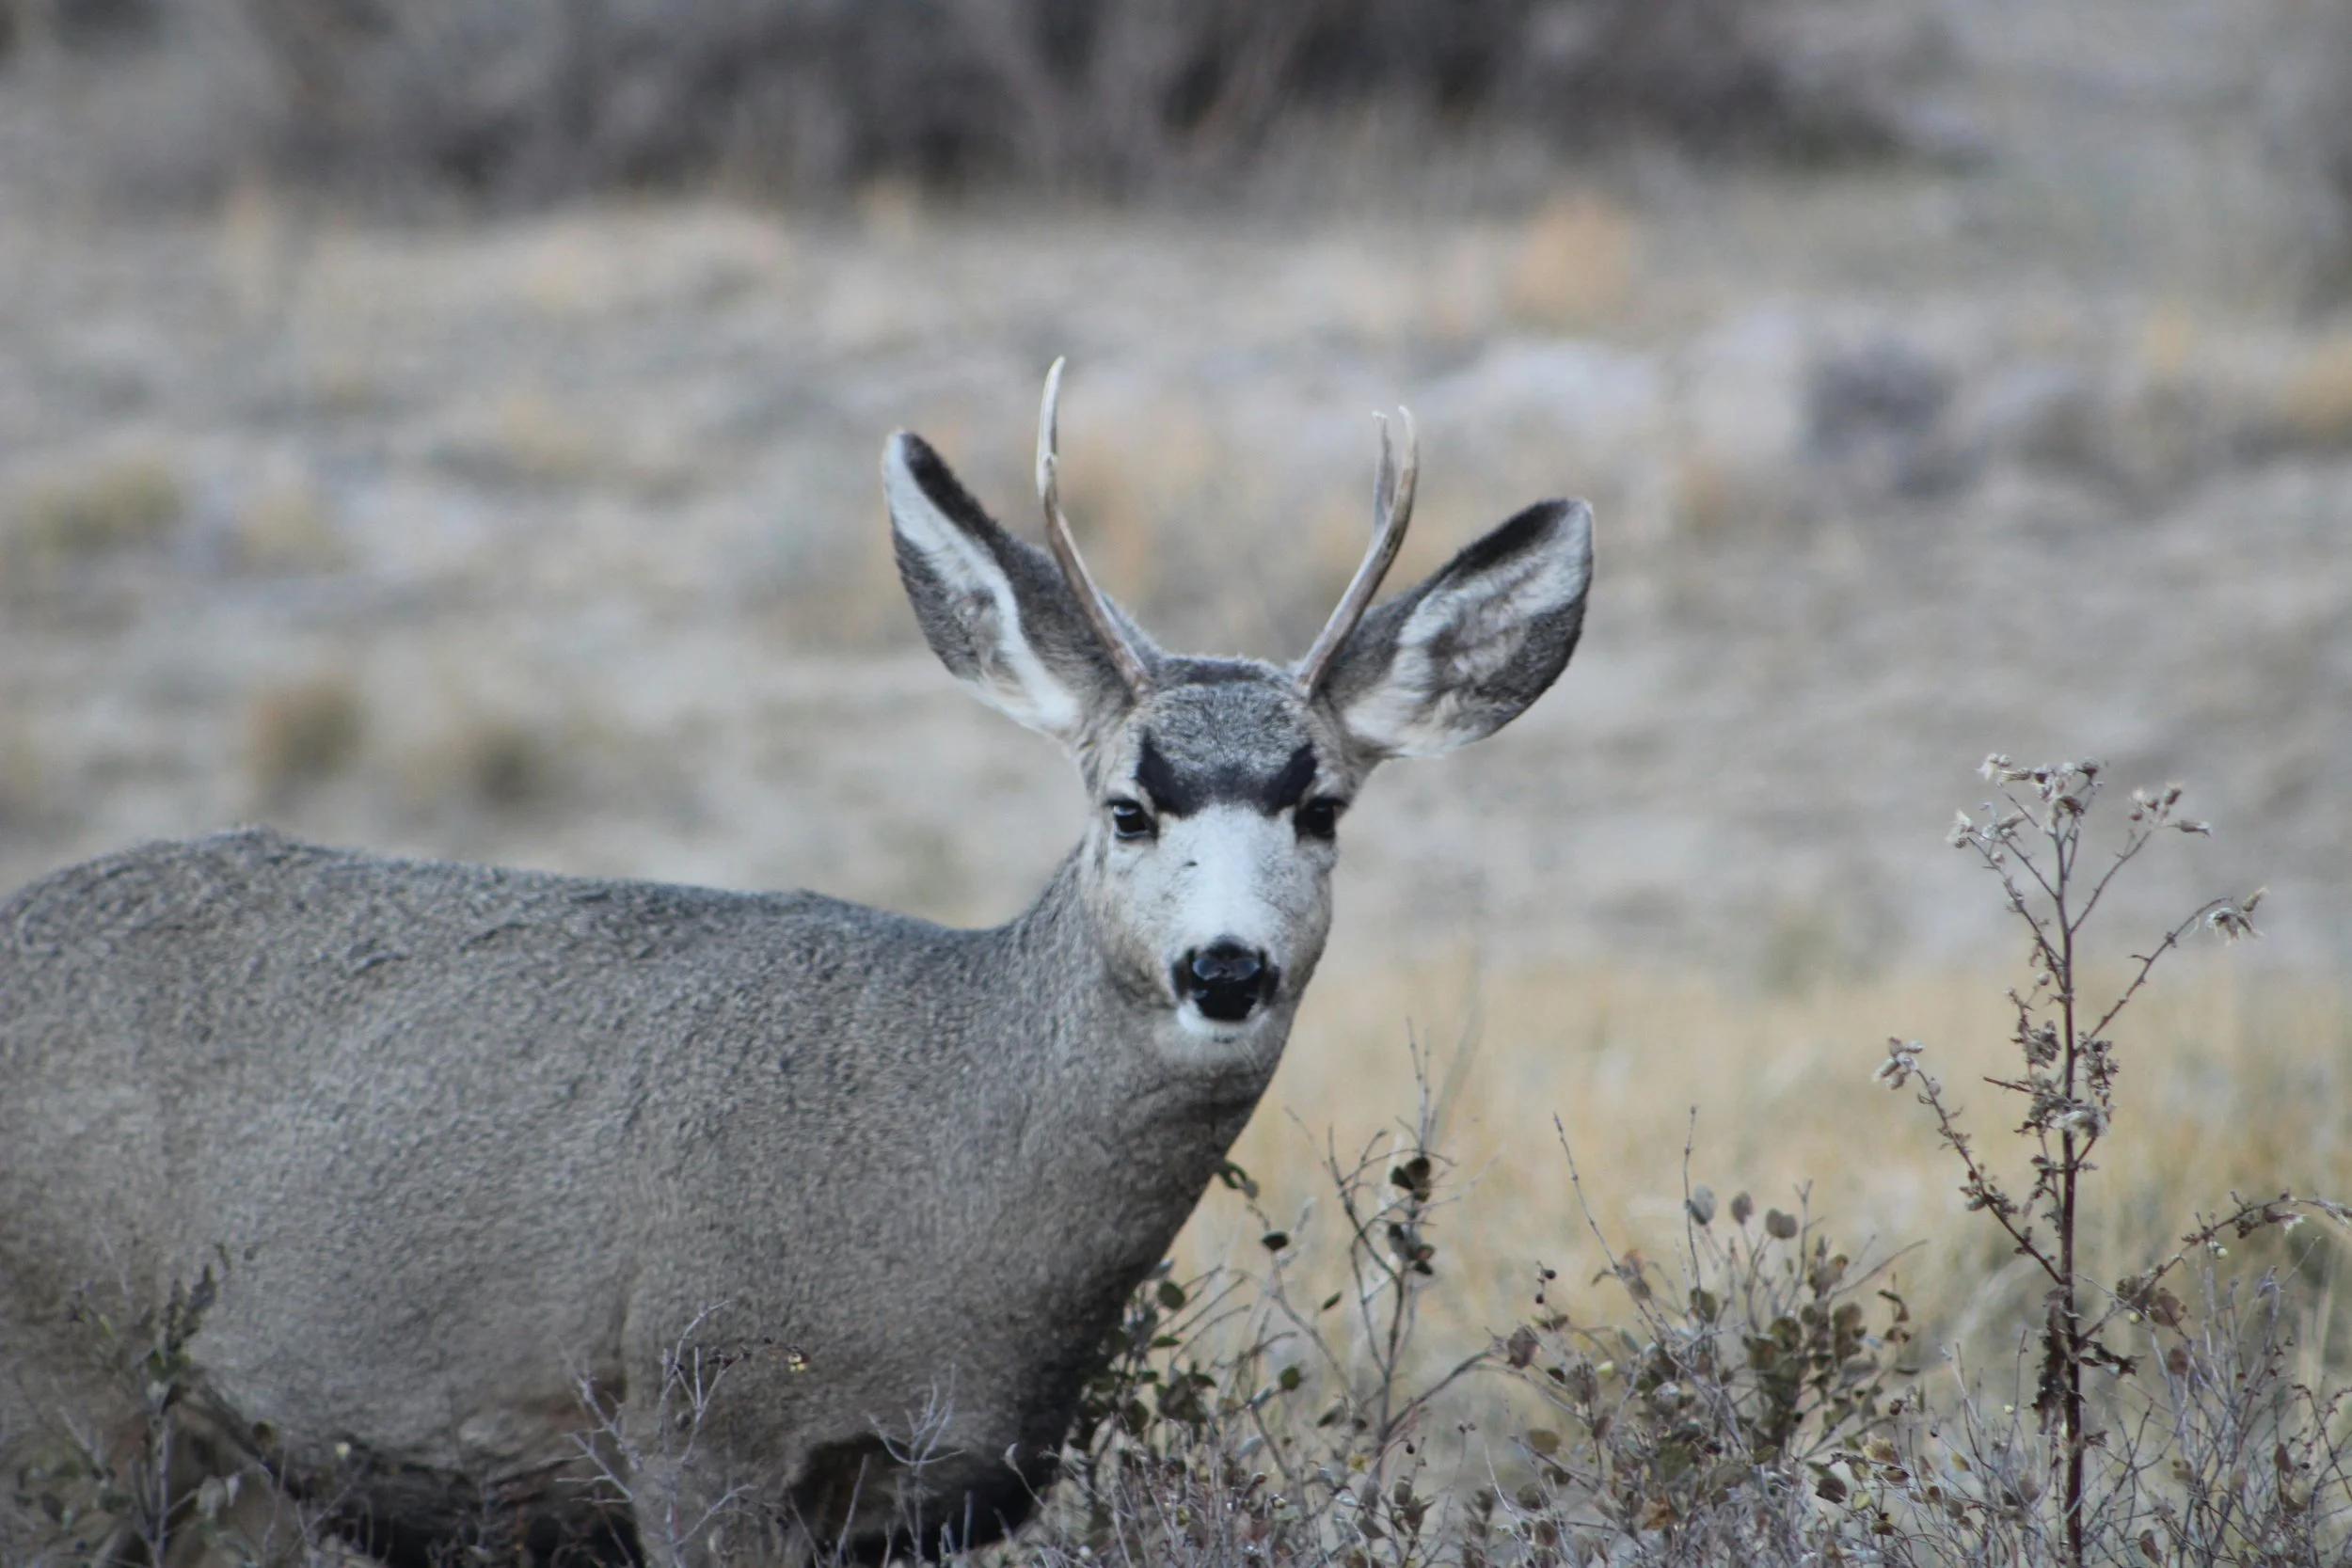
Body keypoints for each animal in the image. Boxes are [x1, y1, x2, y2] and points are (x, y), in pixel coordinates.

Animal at [0, 362, 1593, 1566]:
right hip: (61, 1398)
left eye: (1321, 806)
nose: (1224, 967)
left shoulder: (931, 1496)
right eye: (1127, 804)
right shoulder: (700, 1417)